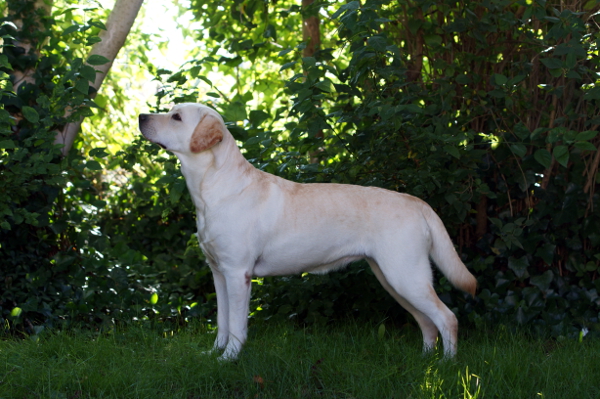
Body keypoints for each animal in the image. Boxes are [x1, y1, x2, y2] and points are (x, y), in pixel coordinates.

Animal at [138, 104, 476, 362]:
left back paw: (445, 366)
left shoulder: (237, 273)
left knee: (447, 318)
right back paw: (424, 362)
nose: (141, 116)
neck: (212, 188)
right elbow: (221, 322)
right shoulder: (218, 273)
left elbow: (236, 325)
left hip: (406, 276)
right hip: (393, 279)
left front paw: (229, 359)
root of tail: (417, 202)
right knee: (427, 323)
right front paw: (213, 355)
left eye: (176, 117)